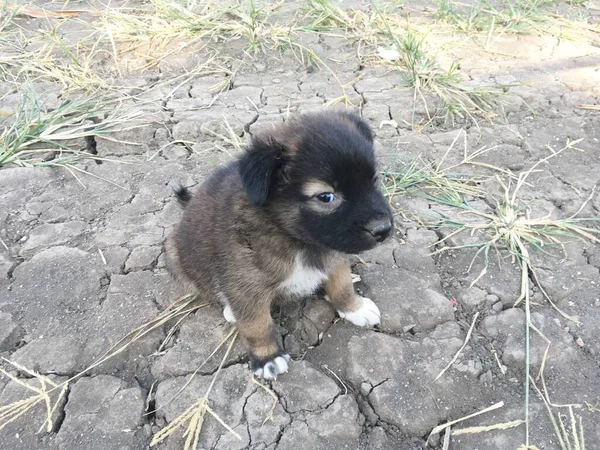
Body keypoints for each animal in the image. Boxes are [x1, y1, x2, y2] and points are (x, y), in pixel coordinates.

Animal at [166, 110, 394, 380]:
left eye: (374, 180)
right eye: (326, 196)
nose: (384, 229)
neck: (296, 239)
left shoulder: (334, 253)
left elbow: (342, 284)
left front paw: (354, 307)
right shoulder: (246, 286)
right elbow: (257, 324)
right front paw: (267, 356)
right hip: (176, 258)